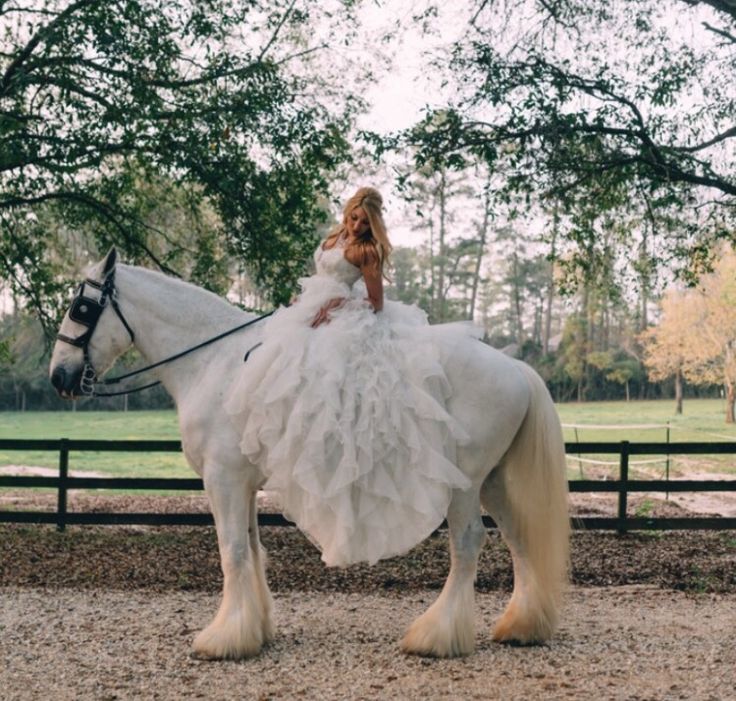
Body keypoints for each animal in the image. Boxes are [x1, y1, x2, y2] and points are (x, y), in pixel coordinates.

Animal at [50, 249, 568, 660]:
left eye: (81, 307)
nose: (58, 377)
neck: (216, 363)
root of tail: (515, 367)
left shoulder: (223, 480)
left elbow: (232, 551)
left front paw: (224, 640)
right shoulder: (243, 485)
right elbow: (252, 550)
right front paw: (255, 630)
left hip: (463, 485)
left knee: (467, 544)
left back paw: (436, 636)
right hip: (492, 482)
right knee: (519, 538)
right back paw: (521, 626)